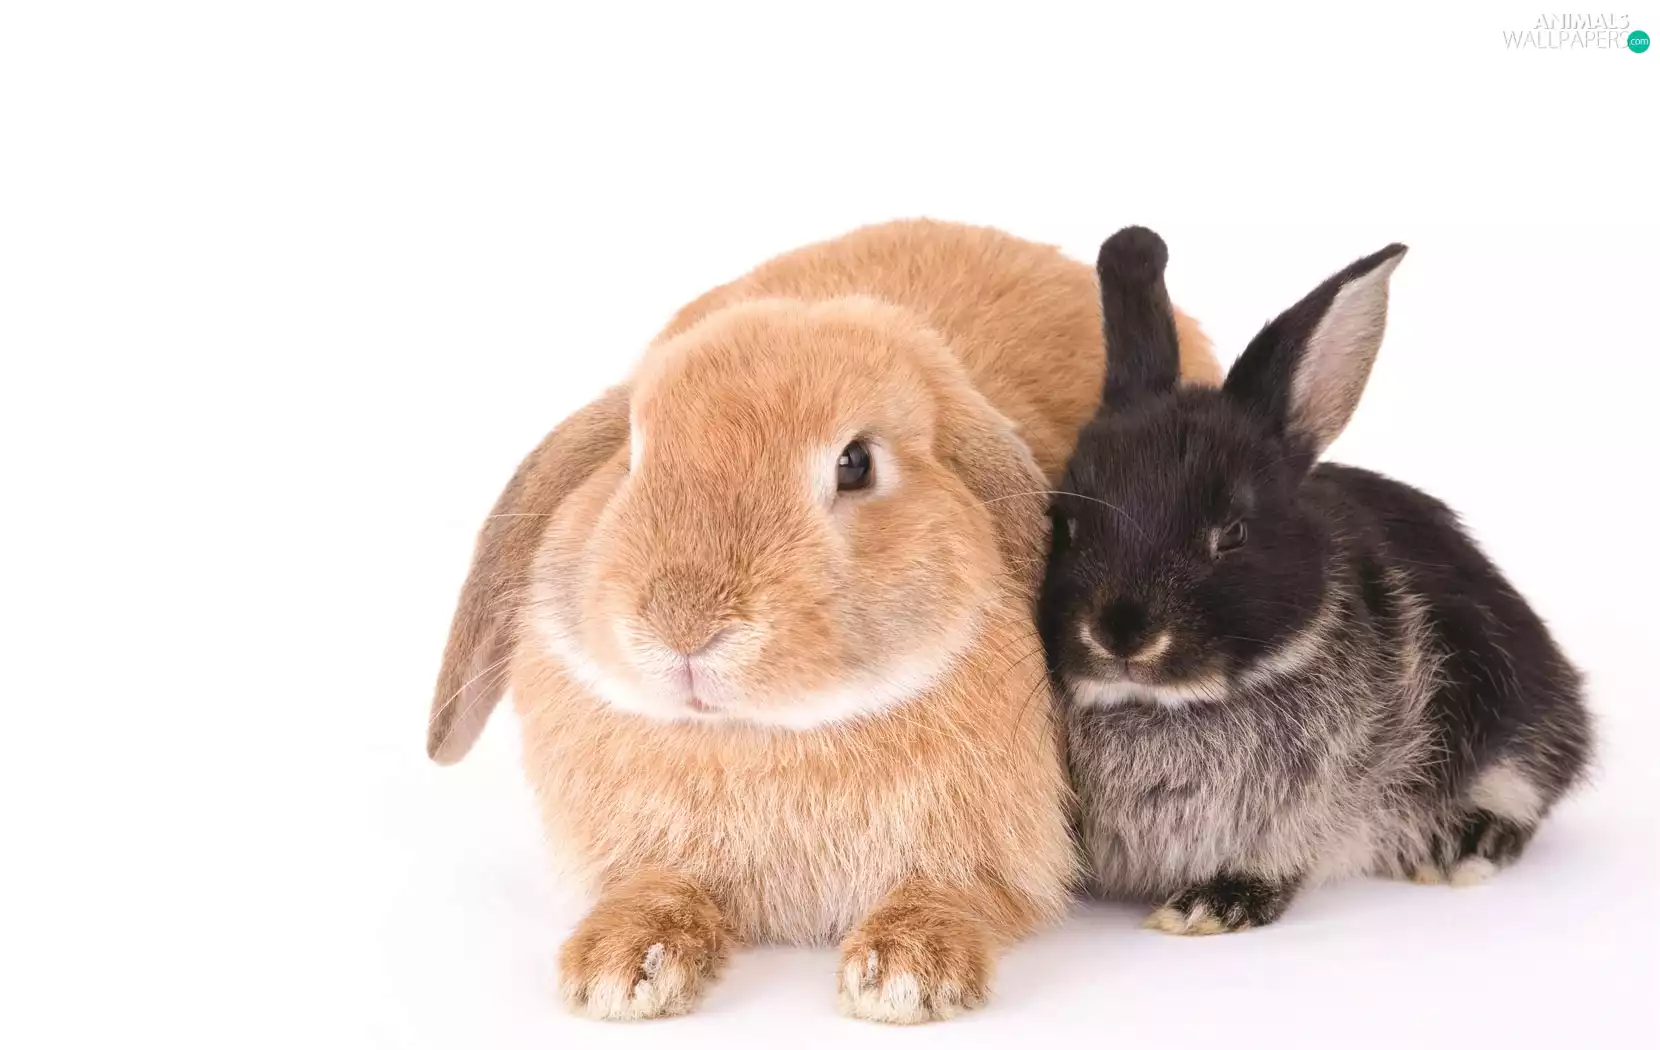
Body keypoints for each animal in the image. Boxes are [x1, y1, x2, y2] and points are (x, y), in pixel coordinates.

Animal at [424, 219, 1222, 1022]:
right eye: (633, 455)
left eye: (856, 463)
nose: (684, 629)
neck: (767, 733)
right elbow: (660, 884)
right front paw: (620, 967)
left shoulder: (983, 856)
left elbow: (951, 891)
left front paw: (906, 973)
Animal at [1038, 226, 1593, 936]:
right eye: (1068, 522)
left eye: (1233, 532)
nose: (1121, 634)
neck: (1168, 706)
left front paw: (1209, 907)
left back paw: (1459, 851)